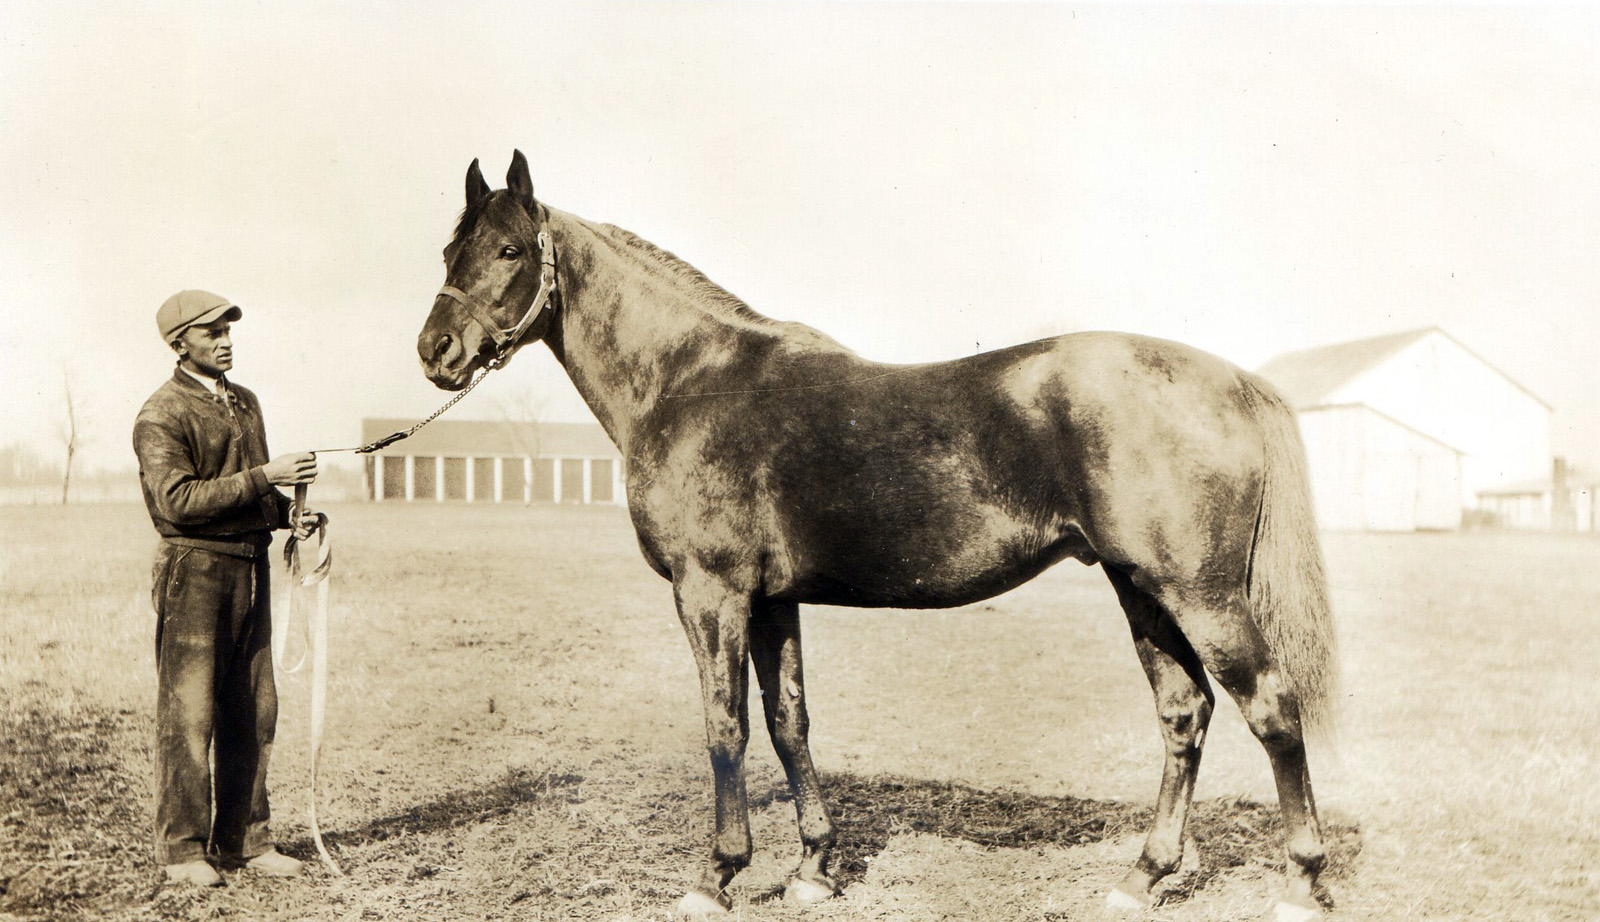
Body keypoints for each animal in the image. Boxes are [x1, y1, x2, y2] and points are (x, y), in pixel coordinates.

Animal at [412, 152, 1337, 922]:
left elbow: (724, 727)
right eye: (450, 250)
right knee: (1185, 714)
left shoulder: (711, 592)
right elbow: (788, 721)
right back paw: (1141, 877)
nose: (436, 350)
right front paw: (814, 870)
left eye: (509, 251)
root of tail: (1232, 380)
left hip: (1200, 594)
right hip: (1139, 587)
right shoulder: (771, 600)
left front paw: (715, 877)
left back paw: (1300, 882)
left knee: (1270, 706)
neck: (689, 382)